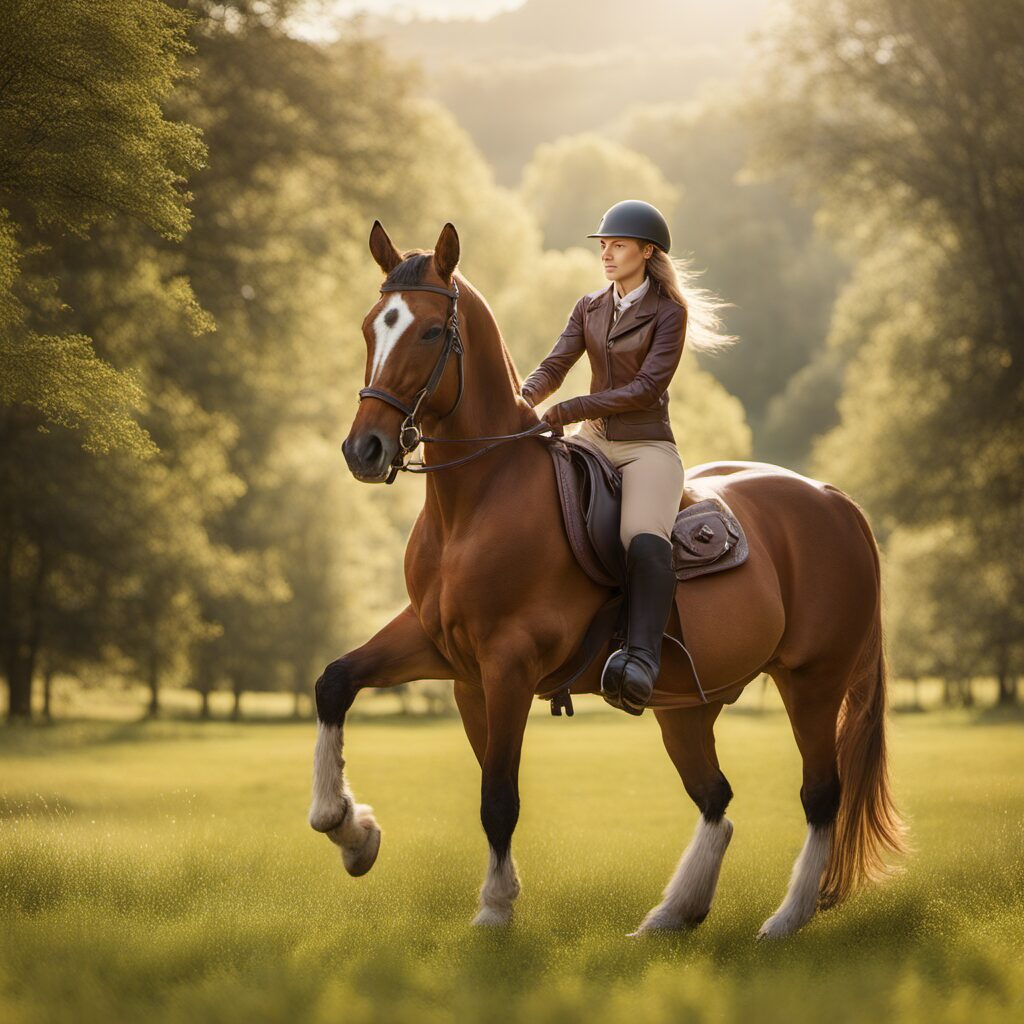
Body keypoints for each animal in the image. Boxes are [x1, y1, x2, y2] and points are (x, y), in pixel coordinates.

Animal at [308, 220, 909, 937]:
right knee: (716, 799)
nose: (363, 451)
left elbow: (498, 798)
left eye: (429, 332)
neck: (477, 500)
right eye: (371, 327)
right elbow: (336, 684)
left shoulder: (508, 665)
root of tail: (832, 500)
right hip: (688, 705)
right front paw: (349, 830)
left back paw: (783, 922)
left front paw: (494, 910)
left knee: (821, 796)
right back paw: (673, 914)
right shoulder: (449, 657)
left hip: (813, 681)